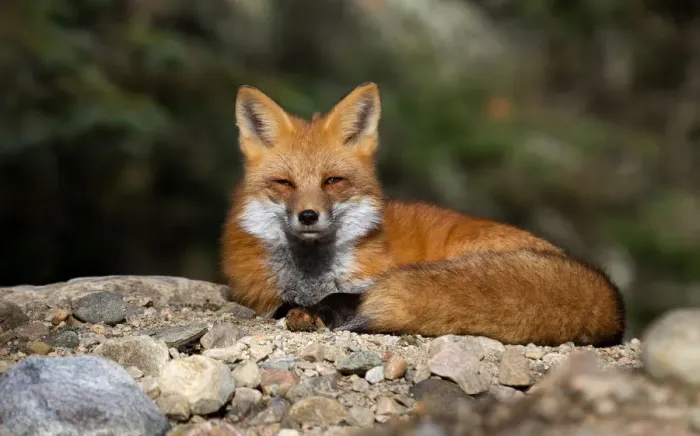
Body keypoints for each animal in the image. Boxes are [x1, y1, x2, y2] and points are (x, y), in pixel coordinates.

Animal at [220, 82, 626, 347]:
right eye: (284, 183)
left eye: (332, 181)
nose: (308, 216)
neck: (311, 278)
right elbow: (282, 305)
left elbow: (335, 299)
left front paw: (317, 312)